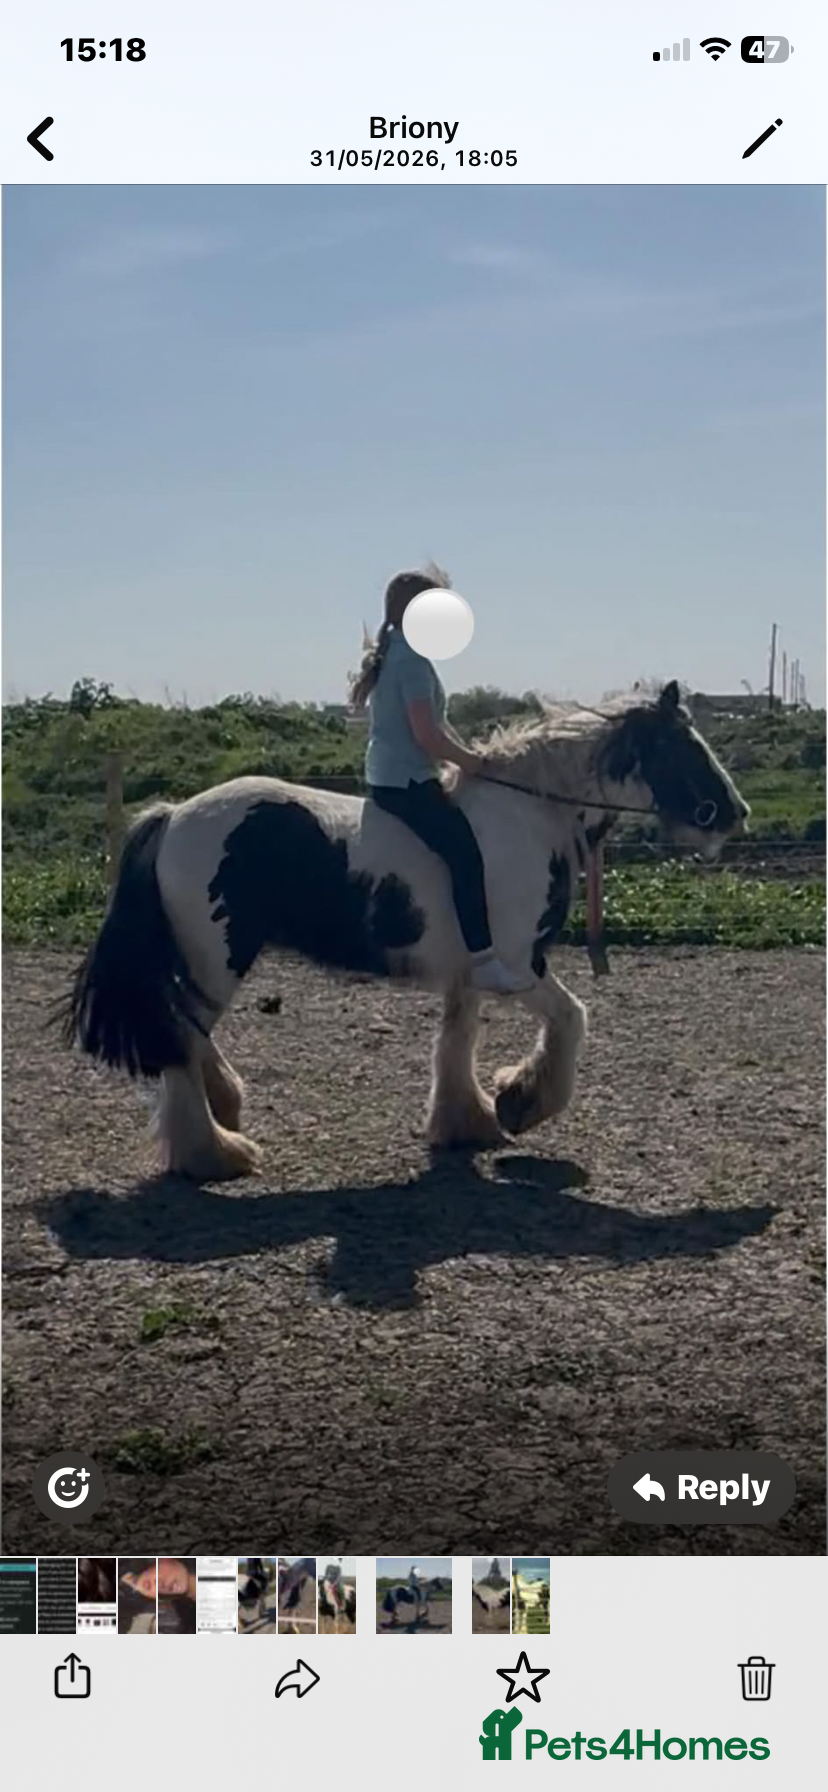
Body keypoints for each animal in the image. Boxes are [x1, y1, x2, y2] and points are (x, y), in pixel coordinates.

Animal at [65, 682, 748, 1181]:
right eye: (686, 747)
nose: (734, 814)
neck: (528, 815)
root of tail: (174, 814)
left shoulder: (467, 975)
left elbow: (457, 1042)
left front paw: (468, 1121)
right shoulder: (517, 966)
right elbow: (570, 1019)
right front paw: (524, 1103)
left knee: (184, 1036)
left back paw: (223, 1104)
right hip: (217, 961)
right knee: (178, 1041)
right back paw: (214, 1154)